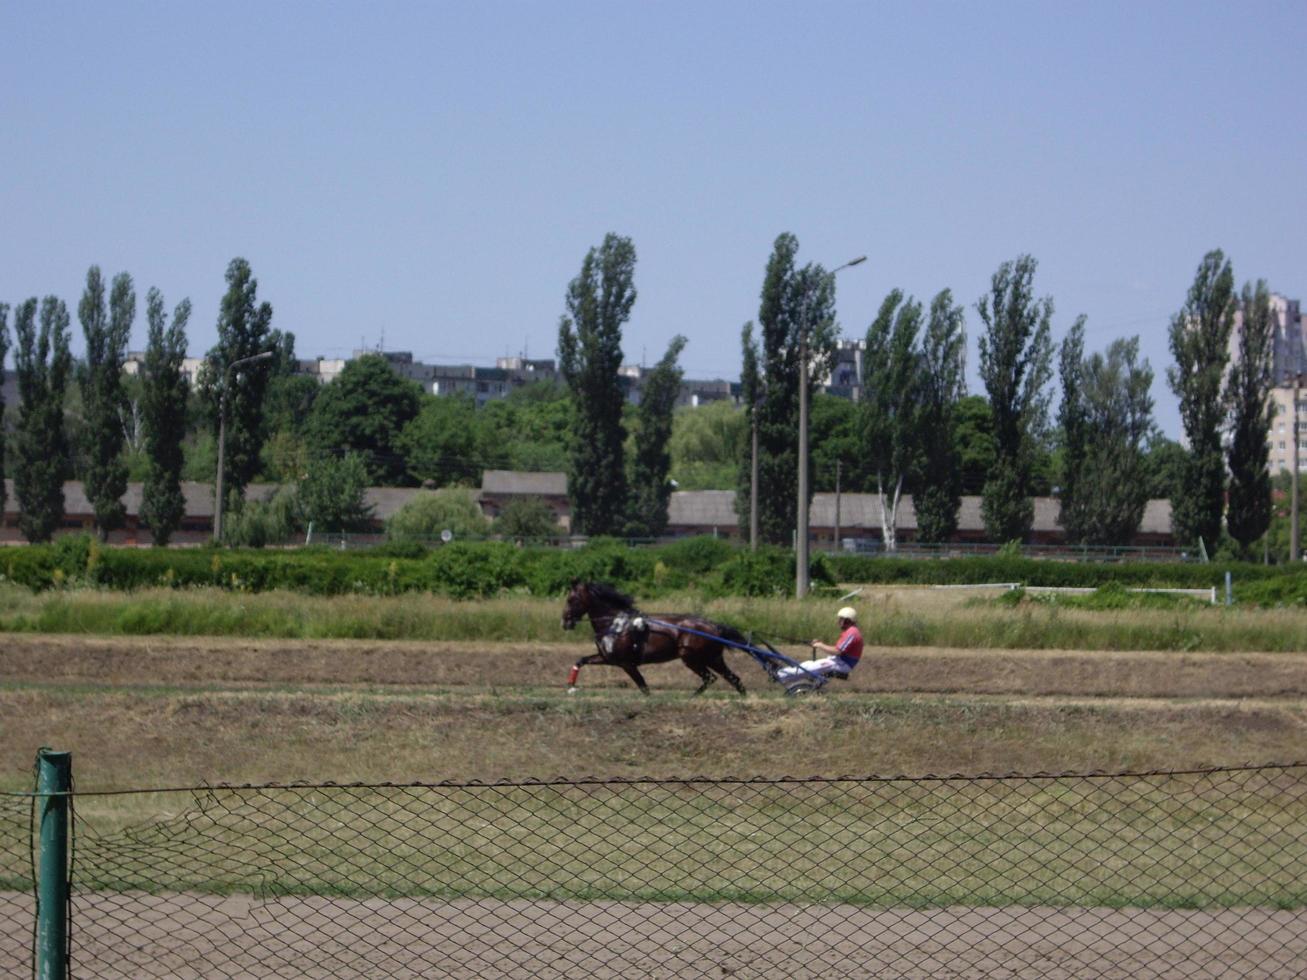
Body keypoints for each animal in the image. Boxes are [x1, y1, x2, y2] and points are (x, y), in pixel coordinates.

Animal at [559, 582, 747, 700]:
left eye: (571, 599)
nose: (565, 622)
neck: (615, 624)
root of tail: (714, 626)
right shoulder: (607, 658)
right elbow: (581, 660)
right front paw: (571, 685)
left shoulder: (626, 663)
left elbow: (643, 686)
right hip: (713, 658)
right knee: (733, 679)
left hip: (691, 658)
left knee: (710, 678)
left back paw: (692, 697)